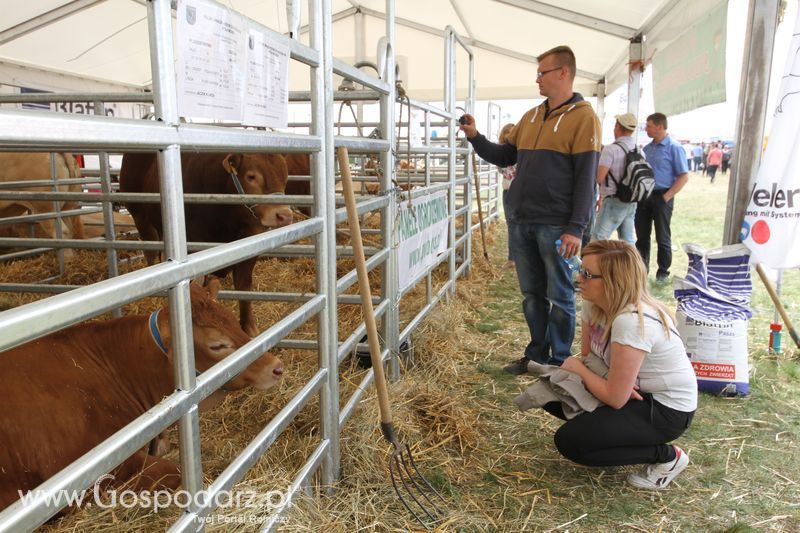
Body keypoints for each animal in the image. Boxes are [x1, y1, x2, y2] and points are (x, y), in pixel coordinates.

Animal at [119, 154, 294, 334]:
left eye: (285, 176)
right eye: (251, 176)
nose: (284, 215)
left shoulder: (252, 242)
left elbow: (244, 287)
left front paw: (249, 328)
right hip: (140, 217)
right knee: (150, 252)